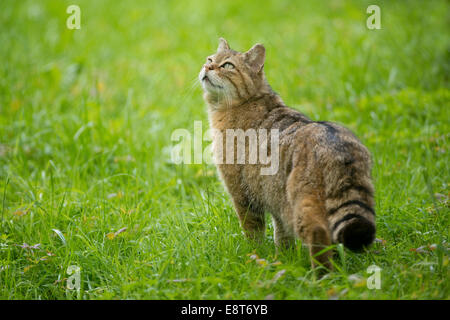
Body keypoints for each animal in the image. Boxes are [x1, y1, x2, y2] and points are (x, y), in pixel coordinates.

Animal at [199, 39, 374, 270]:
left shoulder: (242, 195)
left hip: (303, 208)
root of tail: (335, 142)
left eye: (227, 65)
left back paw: (323, 275)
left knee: (319, 235)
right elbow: (282, 237)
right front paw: (282, 260)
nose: (207, 67)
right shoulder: (275, 203)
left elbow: (253, 233)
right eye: (210, 59)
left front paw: (253, 256)